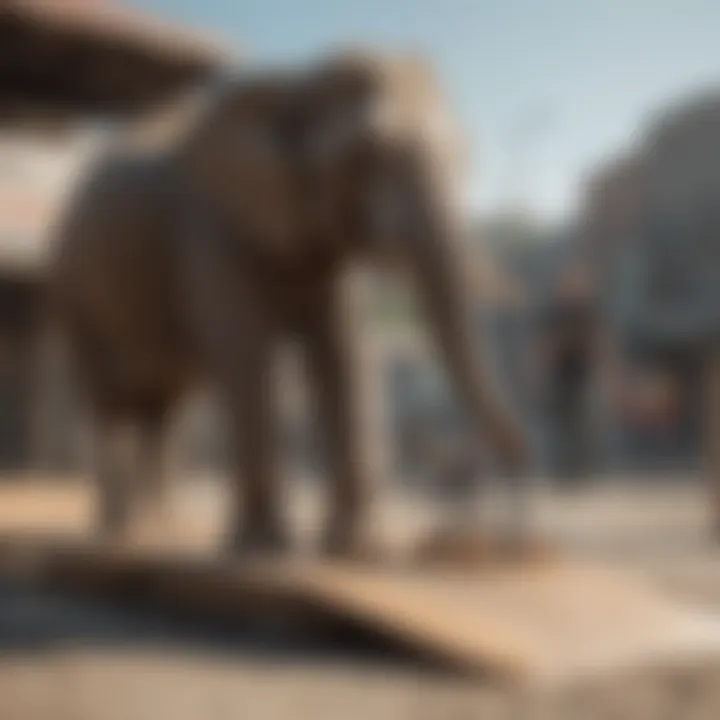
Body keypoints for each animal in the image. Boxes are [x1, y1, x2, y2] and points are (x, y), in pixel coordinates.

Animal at [47, 50, 524, 560]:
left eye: (463, 156)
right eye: (366, 155)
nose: (516, 485)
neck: (297, 87)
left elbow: (344, 355)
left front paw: (355, 548)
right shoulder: (212, 231)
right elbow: (247, 358)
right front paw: (262, 548)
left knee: (163, 409)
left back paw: (158, 528)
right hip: (72, 290)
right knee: (108, 401)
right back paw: (117, 529)